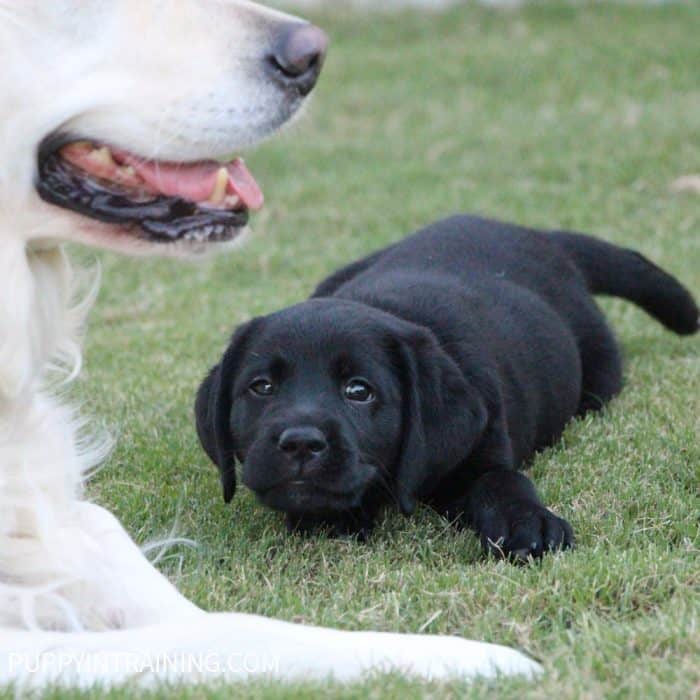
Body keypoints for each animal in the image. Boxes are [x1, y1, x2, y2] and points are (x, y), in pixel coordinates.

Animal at [194, 216, 696, 560]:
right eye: (261, 387)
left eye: (359, 390)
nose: (299, 442)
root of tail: (541, 236)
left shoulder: (485, 445)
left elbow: (503, 481)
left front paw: (528, 524)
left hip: (600, 373)